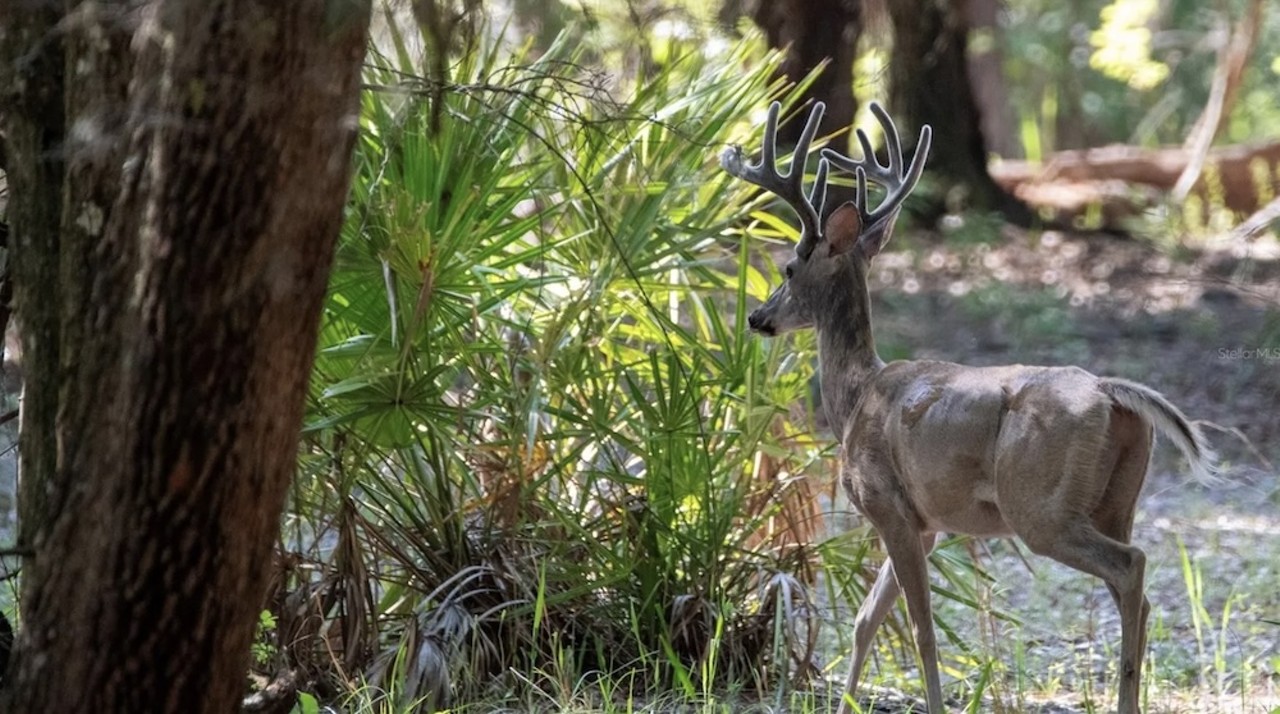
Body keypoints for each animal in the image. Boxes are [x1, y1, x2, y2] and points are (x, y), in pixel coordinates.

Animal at [727, 101, 1213, 714]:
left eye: (790, 268)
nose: (757, 317)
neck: (856, 397)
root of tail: (1108, 392)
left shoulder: (887, 503)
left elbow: (921, 630)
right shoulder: (925, 523)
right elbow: (865, 621)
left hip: (1039, 505)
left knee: (1132, 565)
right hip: (1117, 498)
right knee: (1139, 588)